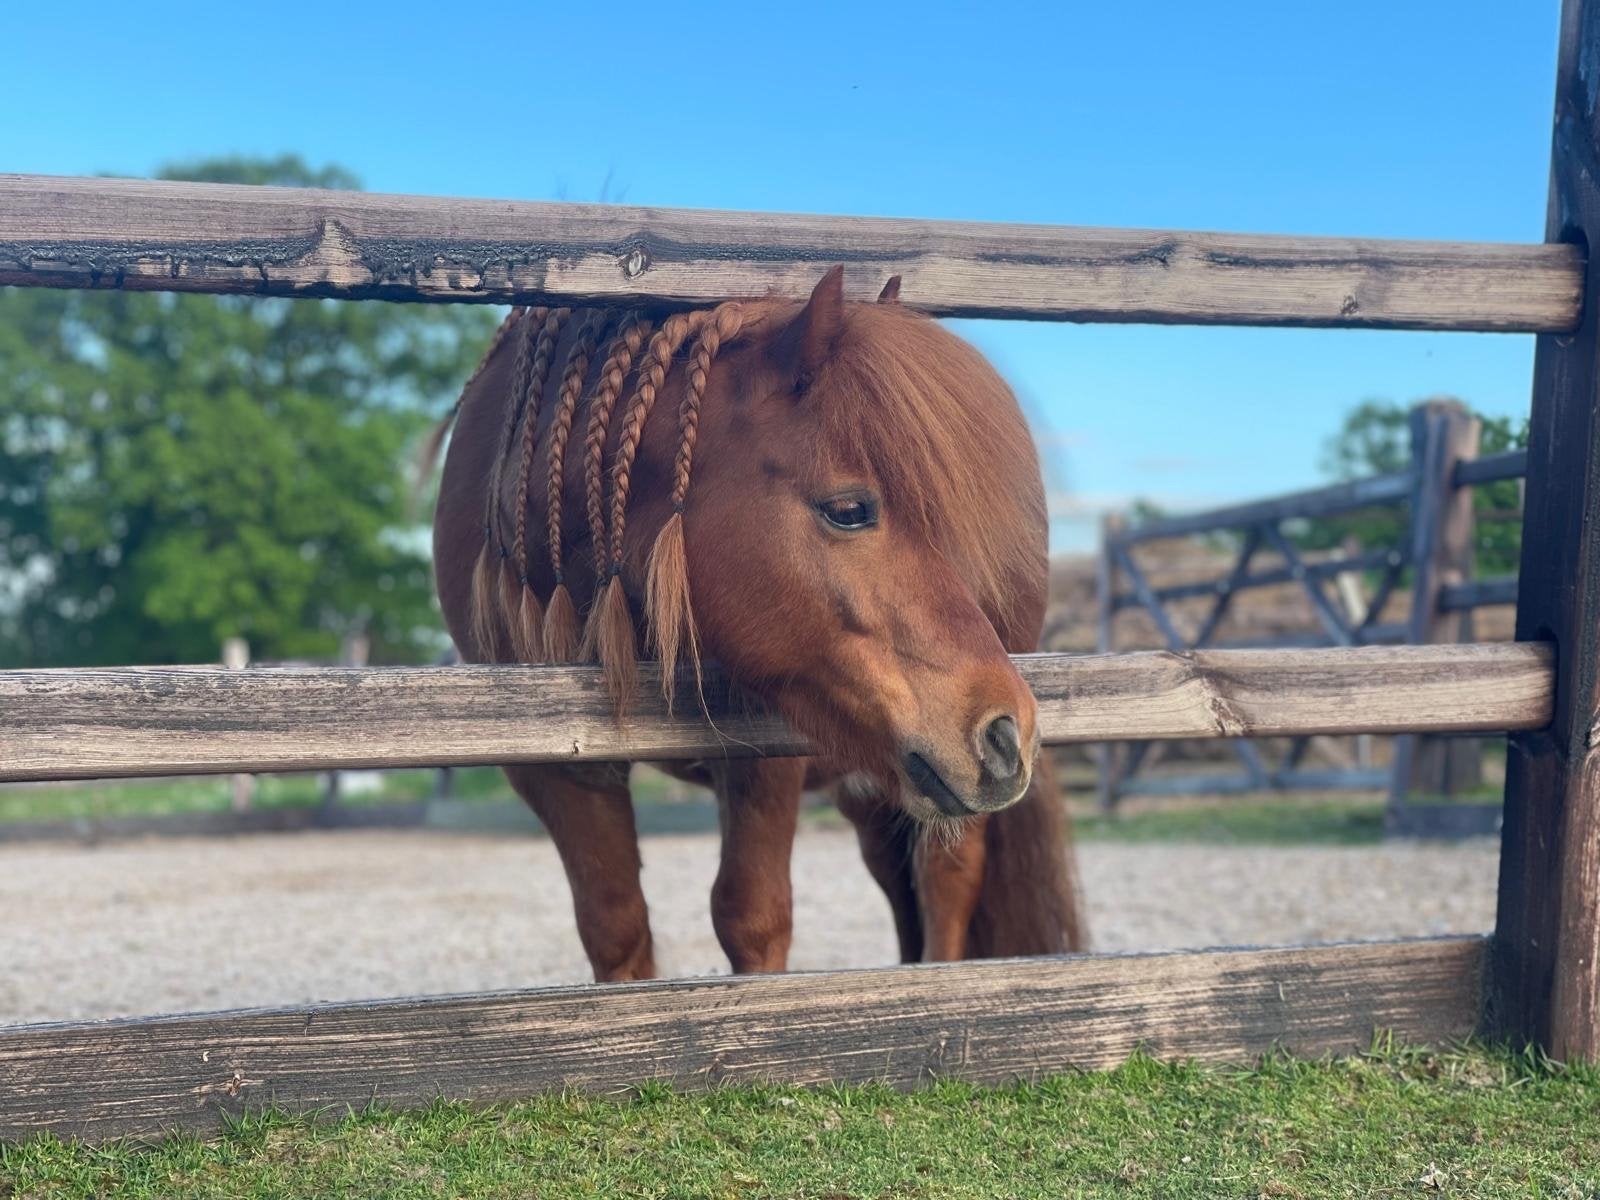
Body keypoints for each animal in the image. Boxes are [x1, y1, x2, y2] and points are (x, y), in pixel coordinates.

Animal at [428, 266, 1085, 981]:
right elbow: (614, 925)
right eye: (849, 510)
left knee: (946, 881)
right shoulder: (552, 768)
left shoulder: (771, 742)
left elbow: (751, 917)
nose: (1007, 732)